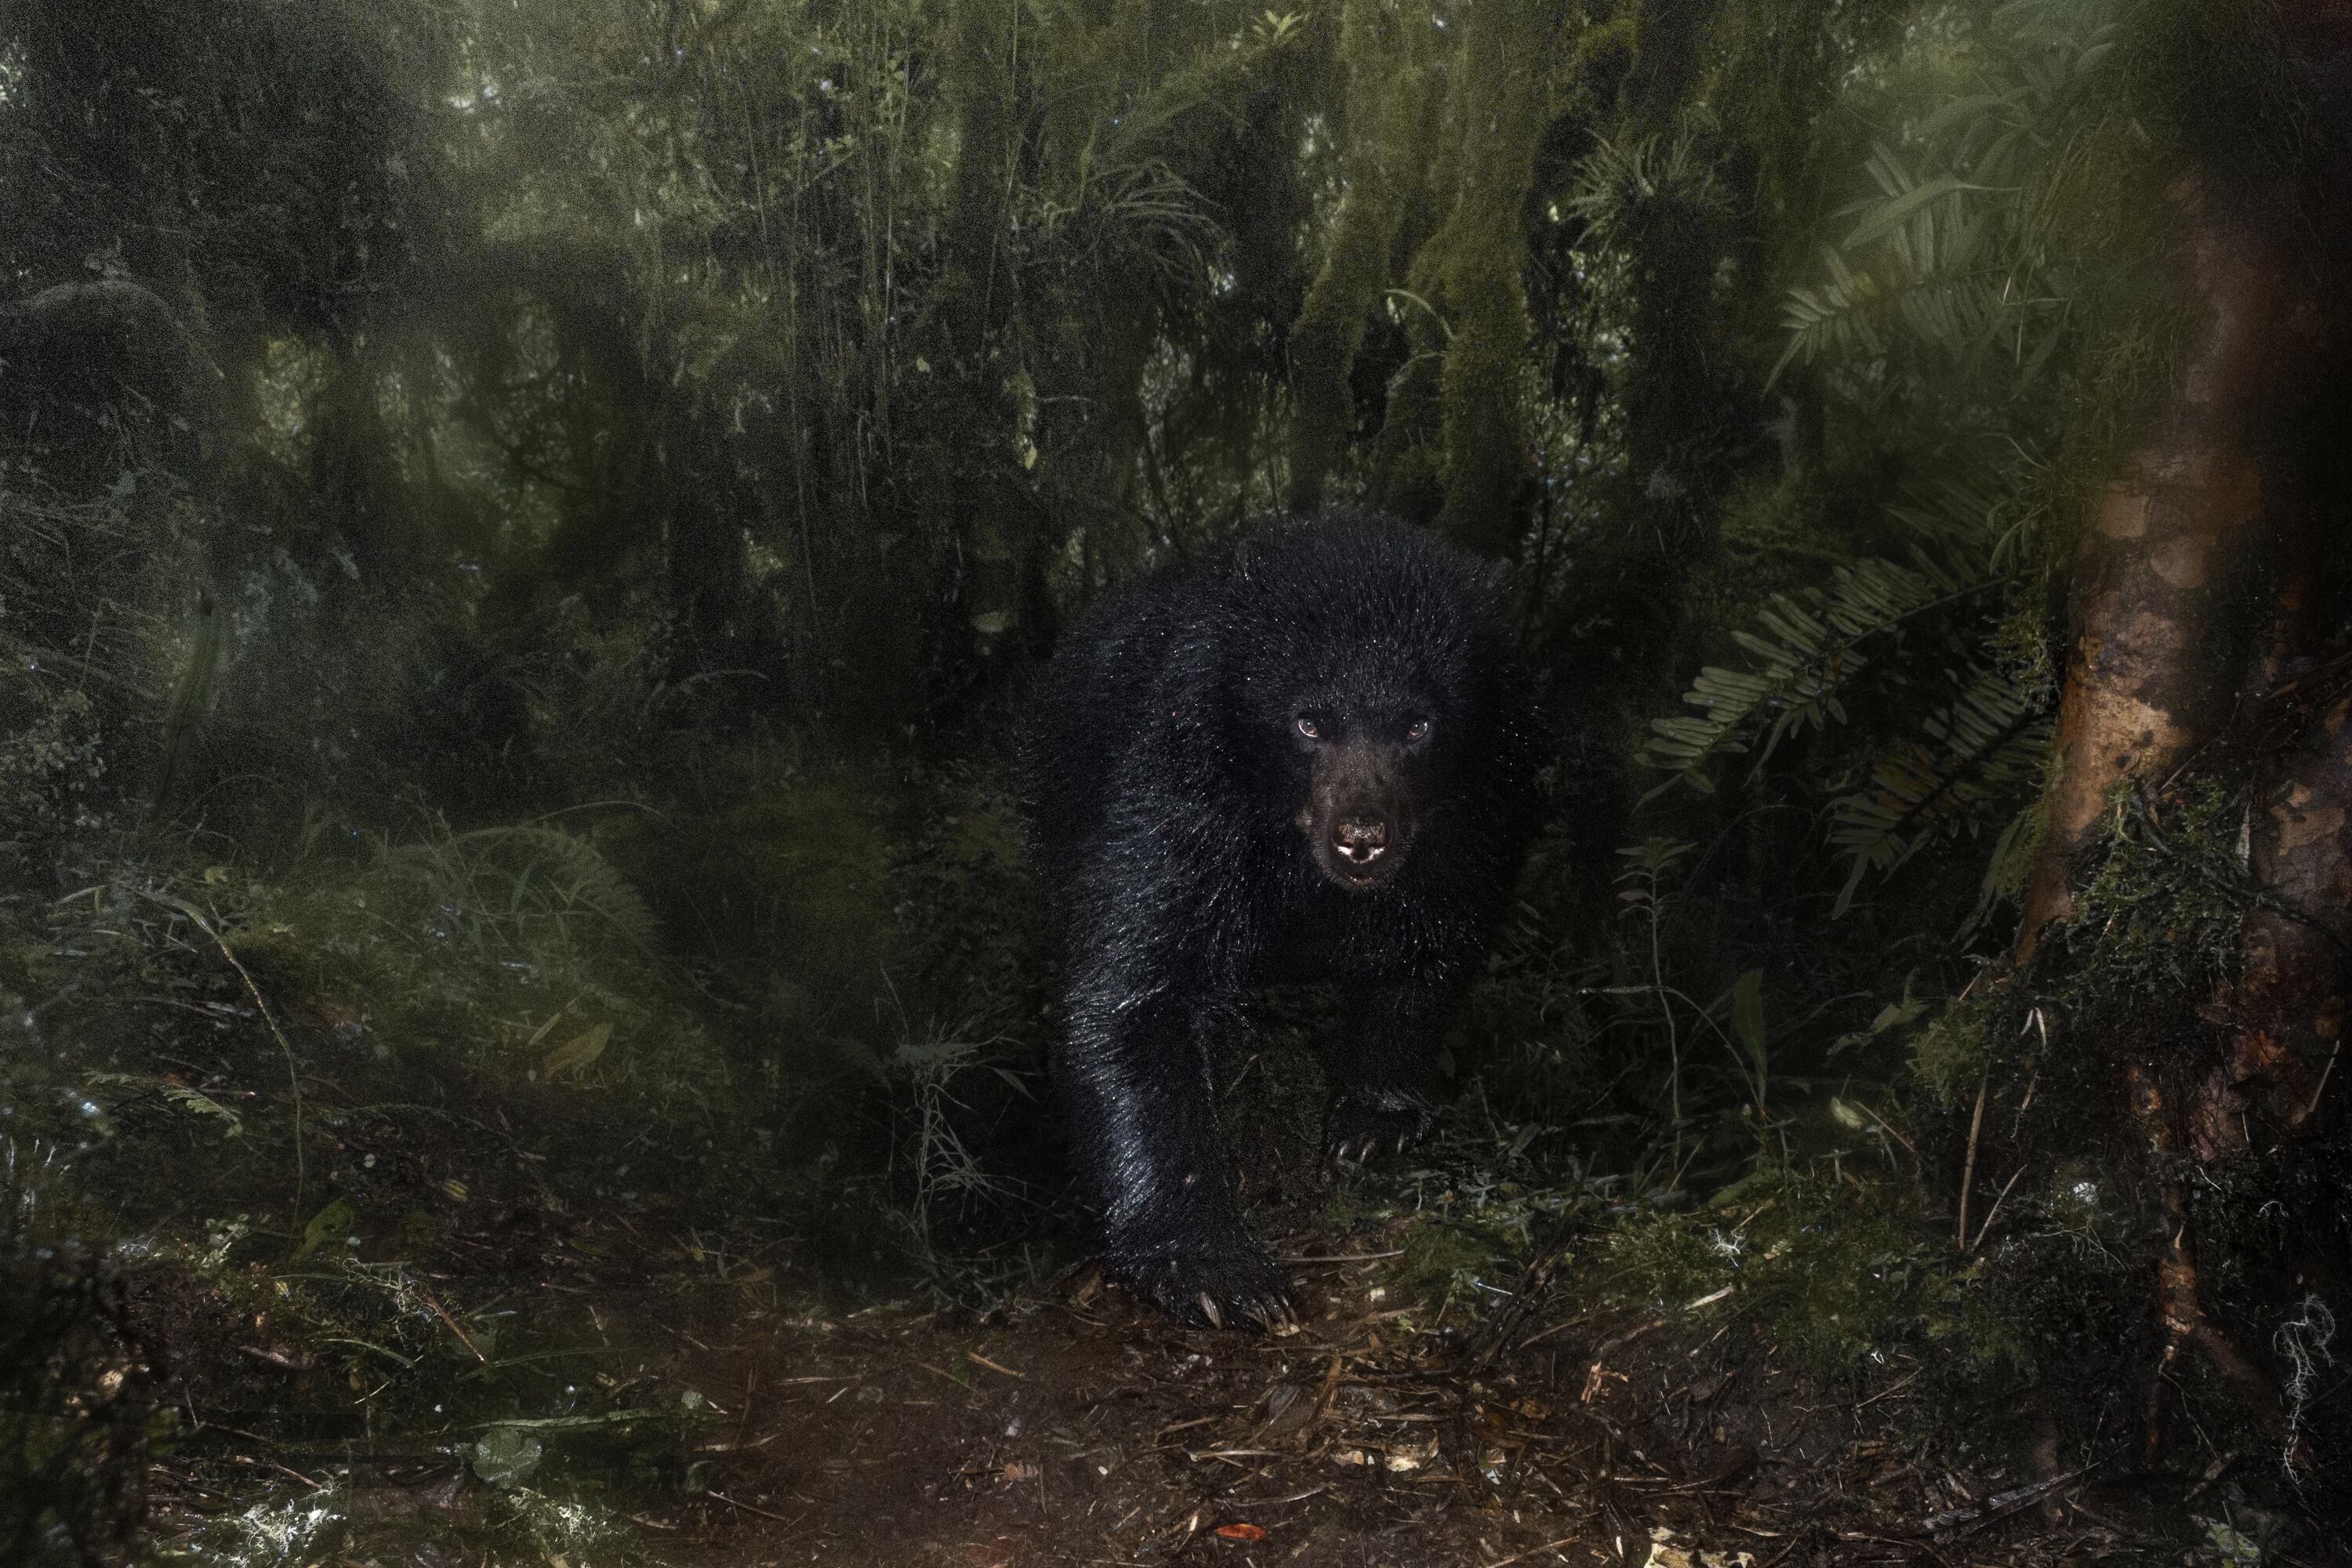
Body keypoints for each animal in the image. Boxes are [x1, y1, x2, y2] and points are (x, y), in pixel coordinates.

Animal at [1023, 513, 1543, 1328]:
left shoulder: (1485, 800)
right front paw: (1214, 1268)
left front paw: (1373, 1121)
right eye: (1309, 723)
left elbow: (1435, 941)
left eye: (1419, 724)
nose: (1362, 836)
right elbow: (1134, 992)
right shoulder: (1181, 782)